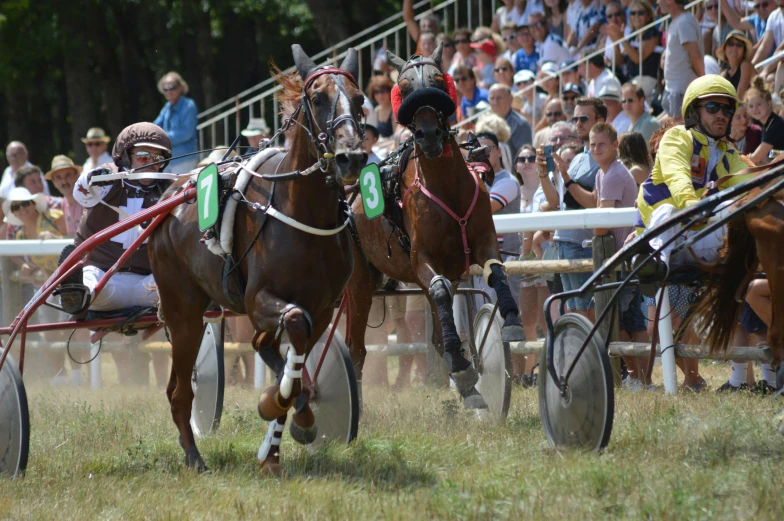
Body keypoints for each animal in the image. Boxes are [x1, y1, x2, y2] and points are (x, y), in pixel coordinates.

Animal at [149, 45, 366, 476]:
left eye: (361, 98)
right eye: (317, 98)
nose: (351, 157)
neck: (304, 212)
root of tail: (170, 196)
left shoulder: (323, 305)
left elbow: (295, 359)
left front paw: (283, 438)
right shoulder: (258, 299)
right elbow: (294, 329)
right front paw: (276, 407)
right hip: (184, 311)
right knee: (180, 392)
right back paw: (194, 457)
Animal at [346, 42, 524, 408]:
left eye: (440, 81)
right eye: (404, 87)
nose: (428, 134)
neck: (447, 188)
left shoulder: (482, 241)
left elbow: (496, 271)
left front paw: (511, 321)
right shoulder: (422, 260)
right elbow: (440, 289)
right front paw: (463, 368)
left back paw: (468, 384)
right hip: (360, 282)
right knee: (355, 349)